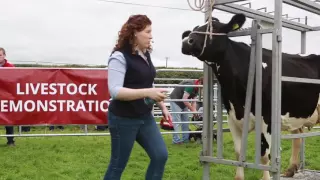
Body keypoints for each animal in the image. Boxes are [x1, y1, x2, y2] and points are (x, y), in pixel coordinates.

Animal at [181, 13, 320, 180]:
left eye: (214, 28)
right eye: (194, 29)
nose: (186, 42)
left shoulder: (267, 119)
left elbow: (264, 156)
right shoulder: (232, 117)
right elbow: (238, 153)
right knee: (298, 136)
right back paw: (291, 169)